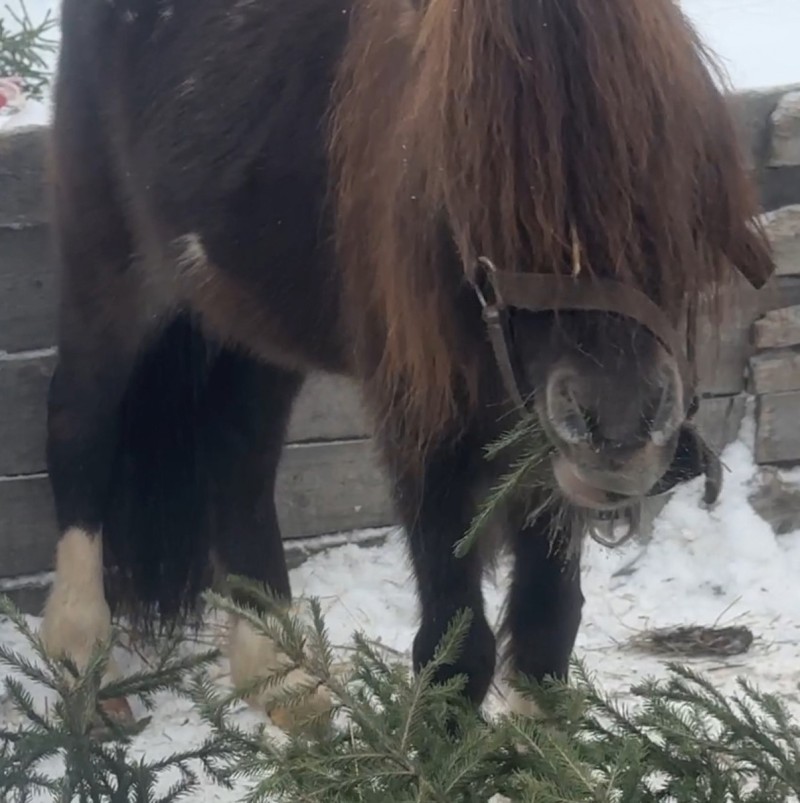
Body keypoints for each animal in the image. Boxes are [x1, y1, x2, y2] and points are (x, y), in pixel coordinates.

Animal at [40, 0, 772, 724]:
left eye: (672, 166)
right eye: (480, 174)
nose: (619, 429)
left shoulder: (539, 448)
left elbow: (545, 631)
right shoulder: (421, 416)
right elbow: (456, 649)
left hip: (249, 318)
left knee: (237, 454)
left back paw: (281, 675)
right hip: (111, 269)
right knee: (80, 424)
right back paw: (82, 659)